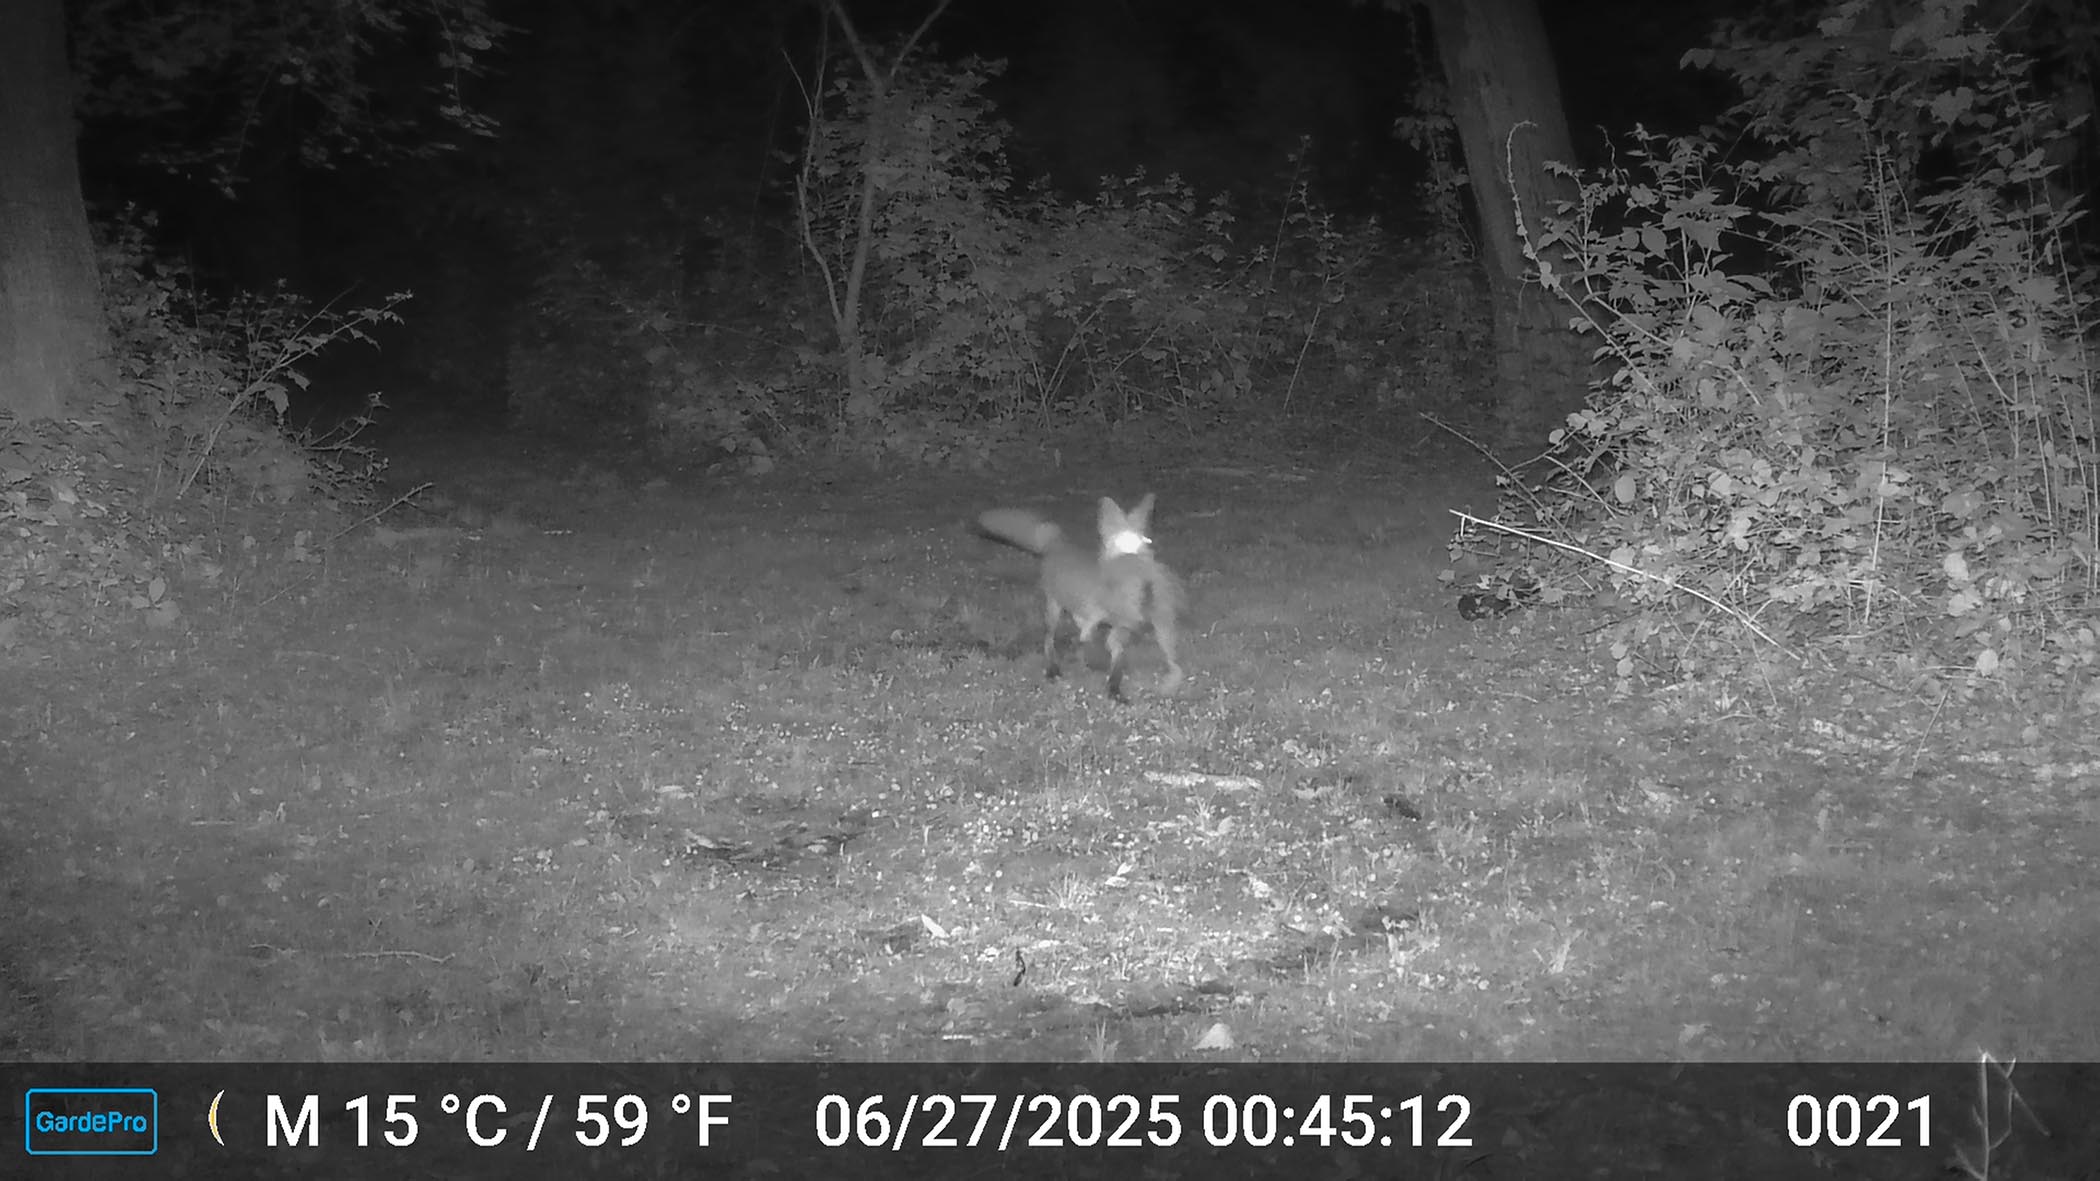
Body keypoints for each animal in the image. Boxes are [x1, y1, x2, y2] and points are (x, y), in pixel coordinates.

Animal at [975, 493, 1186, 701]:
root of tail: (1056, 541)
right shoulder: (1109, 619)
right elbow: (1105, 646)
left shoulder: (1115, 622)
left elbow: (1109, 649)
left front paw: (1111, 682)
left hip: (1063, 608)